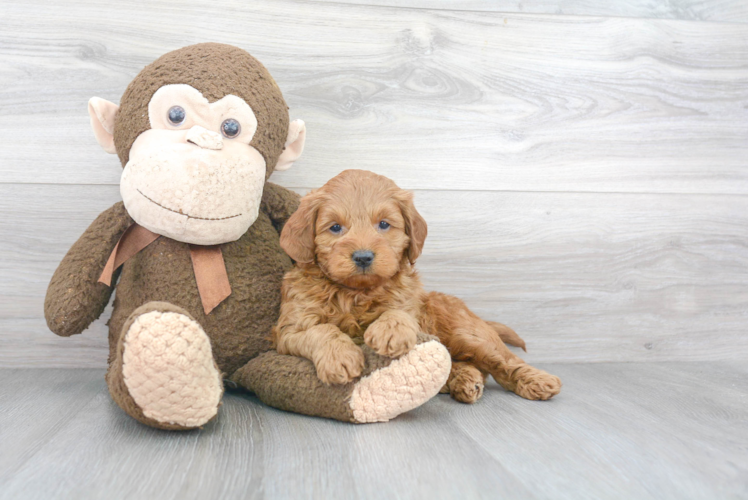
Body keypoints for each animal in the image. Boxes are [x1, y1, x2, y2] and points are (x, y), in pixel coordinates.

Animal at [272, 170, 560, 404]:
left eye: (384, 224)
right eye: (335, 228)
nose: (363, 257)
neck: (356, 293)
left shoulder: (410, 303)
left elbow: (399, 311)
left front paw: (391, 331)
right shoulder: (290, 330)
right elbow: (322, 330)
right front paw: (339, 357)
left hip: (469, 334)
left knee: (504, 360)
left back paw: (538, 381)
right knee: (459, 362)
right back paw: (464, 380)